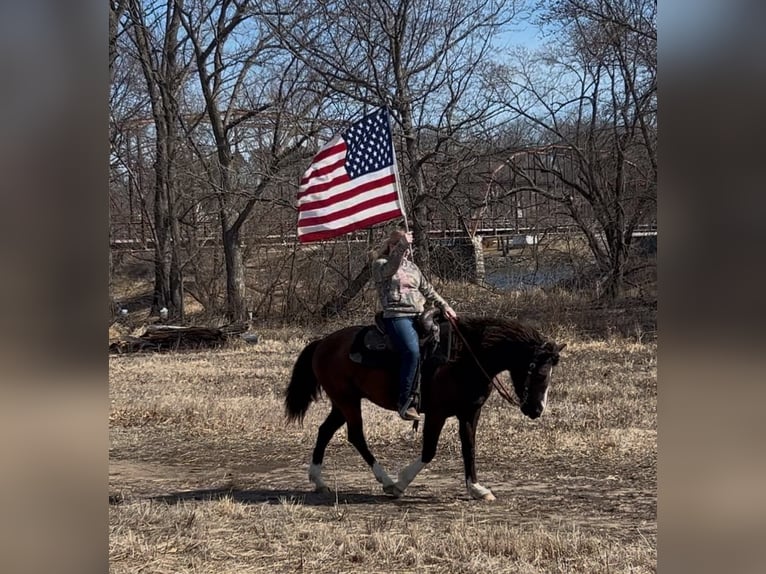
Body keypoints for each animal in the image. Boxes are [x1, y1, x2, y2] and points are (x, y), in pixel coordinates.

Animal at [284, 315, 565, 501]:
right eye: (541, 373)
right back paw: (386, 481)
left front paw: (476, 488)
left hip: (343, 402)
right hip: (347, 401)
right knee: (356, 436)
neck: (464, 358)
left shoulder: (470, 412)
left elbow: (469, 448)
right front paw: (401, 483)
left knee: (325, 431)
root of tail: (323, 342)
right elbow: (429, 451)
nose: (537, 410)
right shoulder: (437, 414)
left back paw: (319, 481)